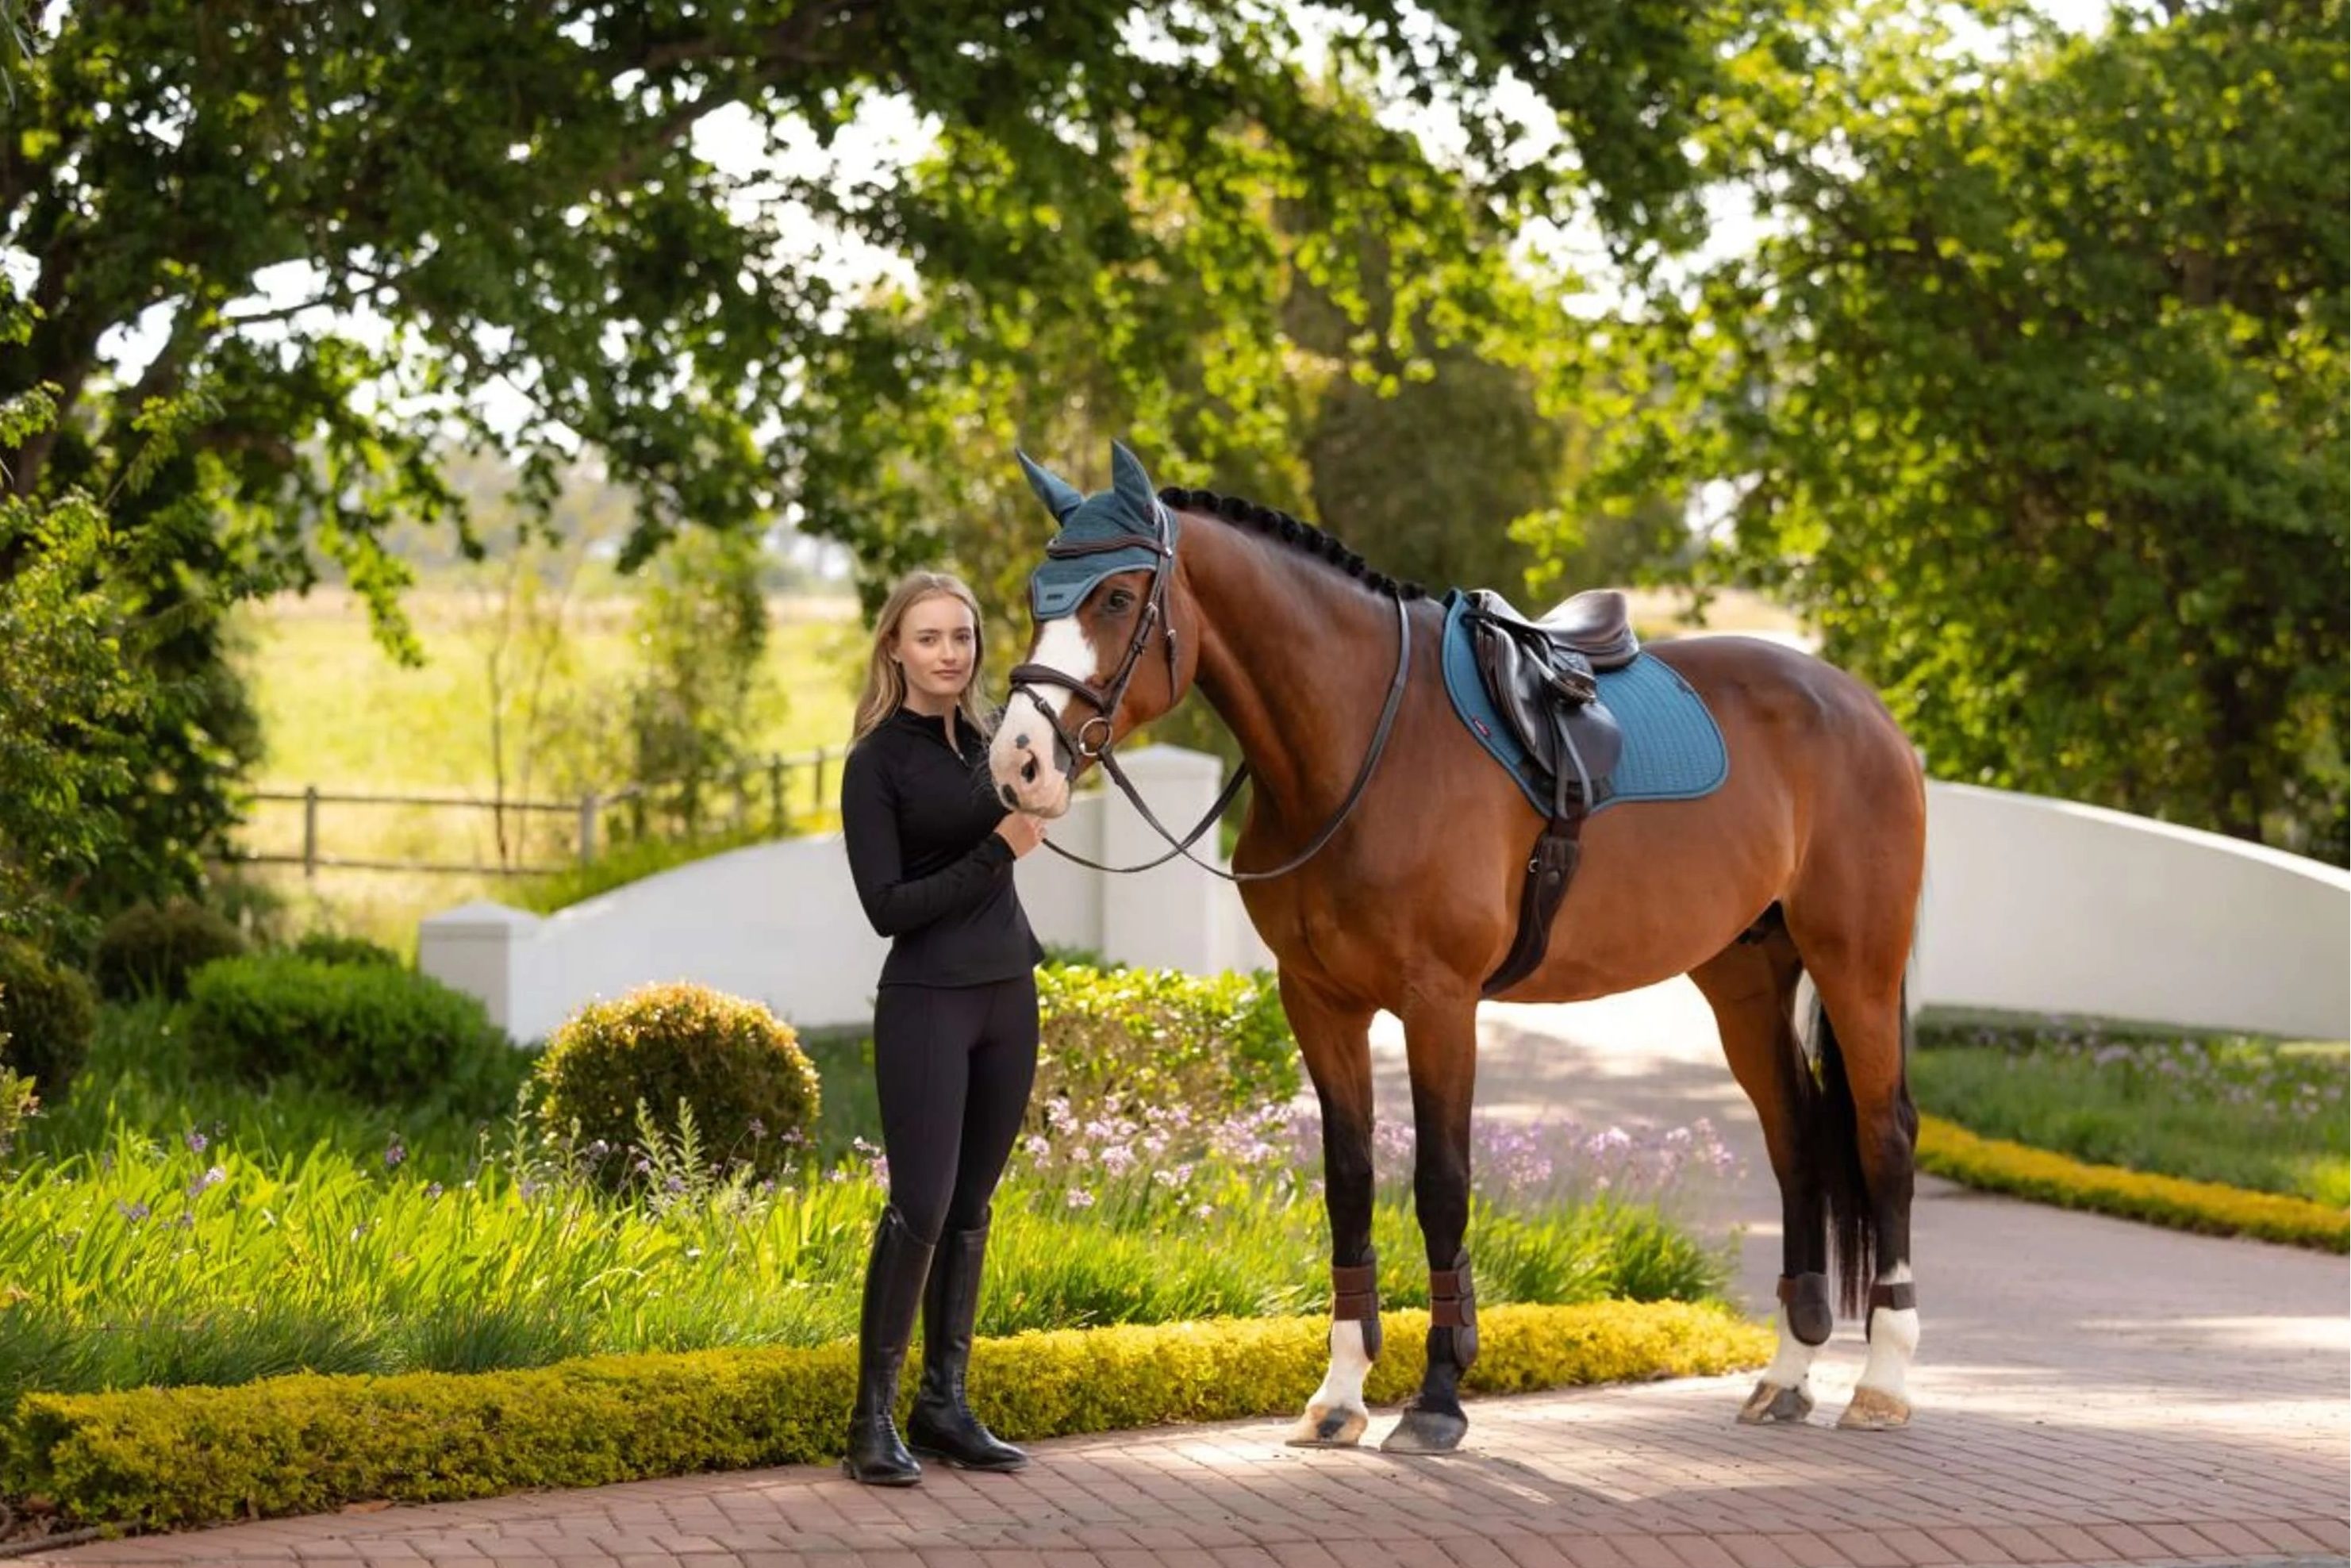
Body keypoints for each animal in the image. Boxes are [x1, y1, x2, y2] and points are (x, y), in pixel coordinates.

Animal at [988, 443, 1926, 1452]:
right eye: (1040, 592)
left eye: (1117, 597)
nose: (1016, 761)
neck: (1361, 740)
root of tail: (1860, 706)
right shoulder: (1317, 999)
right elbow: (1348, 1183)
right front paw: (1338, 1393)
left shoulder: (1438, 1001)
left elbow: (1440, 1182)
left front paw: (1437, 1395)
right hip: (1744, 977)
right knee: (1795, 1139)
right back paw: (1786, 1375)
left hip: (1855, 965)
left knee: (1881, 1136)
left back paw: (1881, 1379)